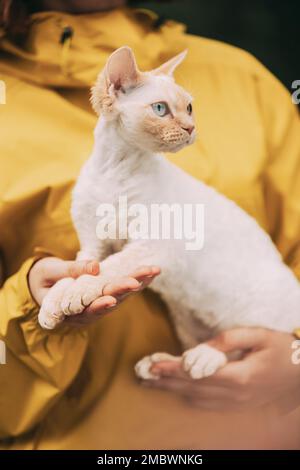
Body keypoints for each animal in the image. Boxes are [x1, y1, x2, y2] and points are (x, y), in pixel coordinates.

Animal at [38, 46, 298, 380]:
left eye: (189, 108)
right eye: (160, 109)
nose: (191, 128)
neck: (114, 170)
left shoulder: (152, 245)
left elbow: (110, 267)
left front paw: (74, 294)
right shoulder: (92, 244)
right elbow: (82, 270)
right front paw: (53, 302)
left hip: (256, 310)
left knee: (243, 341)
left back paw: (202, 359)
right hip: (185, 319)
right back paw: (159, 365)